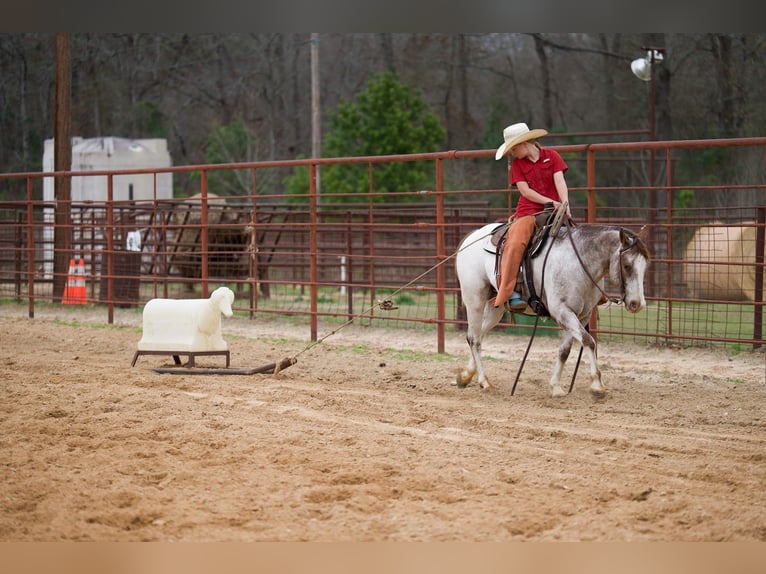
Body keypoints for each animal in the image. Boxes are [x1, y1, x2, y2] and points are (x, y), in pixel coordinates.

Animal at [454, 221, 650, 398]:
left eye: (645, 266)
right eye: (627, 266)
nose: (637, 304)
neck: (578, 263)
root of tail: (472, 236)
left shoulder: (581, 315)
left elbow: (565, 351)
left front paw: (556, 386)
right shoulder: (563, 312)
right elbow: (589, 341)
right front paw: (597, 385)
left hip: (496, 307)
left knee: (478, 335)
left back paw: (465, 376)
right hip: (475, 299)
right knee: (474, 338)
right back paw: (484, 381)